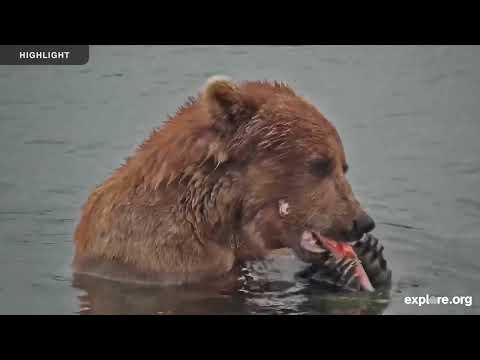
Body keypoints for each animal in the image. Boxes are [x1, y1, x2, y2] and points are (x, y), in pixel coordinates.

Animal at [73, 76, 376, 290]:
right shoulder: (165, 258)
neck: (214, 219)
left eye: (343, 165)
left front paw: (370, 259)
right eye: (320, 164)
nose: (361, 222)